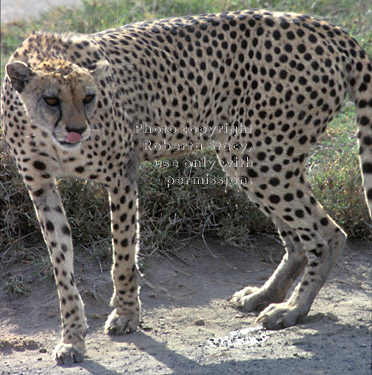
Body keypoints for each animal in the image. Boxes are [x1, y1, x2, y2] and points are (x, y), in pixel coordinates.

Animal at [0, 8, 372, 366]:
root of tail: (324, 26)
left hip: (261, 157)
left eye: (89, 97)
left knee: (327, 234)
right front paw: (72, 339)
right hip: (250, 159)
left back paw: (293, 308)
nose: (77, 129)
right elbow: (63, 270)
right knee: (300, 239)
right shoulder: (42, 190)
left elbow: (123, 256)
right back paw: (264, 296)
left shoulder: (121, 176)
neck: (47, 135)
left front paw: (126, 315)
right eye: (51, 100)